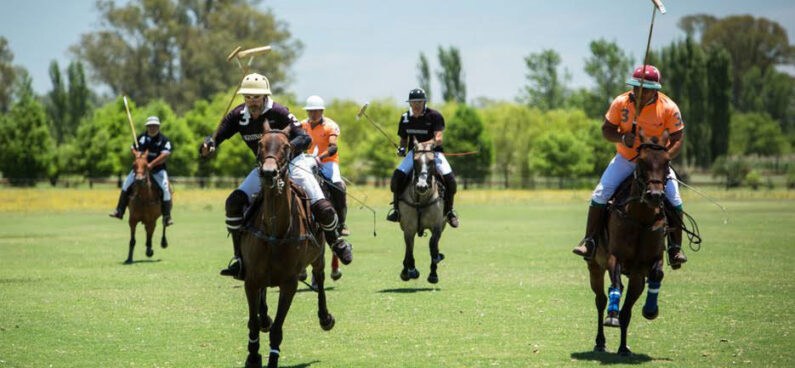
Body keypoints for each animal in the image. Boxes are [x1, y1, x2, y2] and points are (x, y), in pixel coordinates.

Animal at [238, 123, 334, 368]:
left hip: (319, 255)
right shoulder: (251, 280)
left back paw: (325, 317)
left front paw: (272, 358)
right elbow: (253, 322)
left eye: (286, 147)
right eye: (260, 144)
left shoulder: (289, 283)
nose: (269, 173)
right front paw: (253, 356)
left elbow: (277, 330)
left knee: (320, 279)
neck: (275, 230)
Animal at [398, 139, 448, 284]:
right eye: (415, 161)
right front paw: (411, 270)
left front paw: (433, 273)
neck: (421, 199)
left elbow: (433, 245)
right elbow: (409, 248)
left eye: (431, 161)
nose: (421, 186)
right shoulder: (409, 227)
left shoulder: (437, 226)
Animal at [588, 130, 668, 356]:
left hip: (636, 277)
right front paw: (611, 316)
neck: (641, 218)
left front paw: (650, 310)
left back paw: (623, 346)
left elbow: (656, 274)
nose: (655, 195)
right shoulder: (615, 257)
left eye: (667, 161)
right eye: (641, 161)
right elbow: (616, 283)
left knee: (627, 309)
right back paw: (601, 339)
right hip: (595, 266)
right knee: (600, 300)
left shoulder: (646, 265)